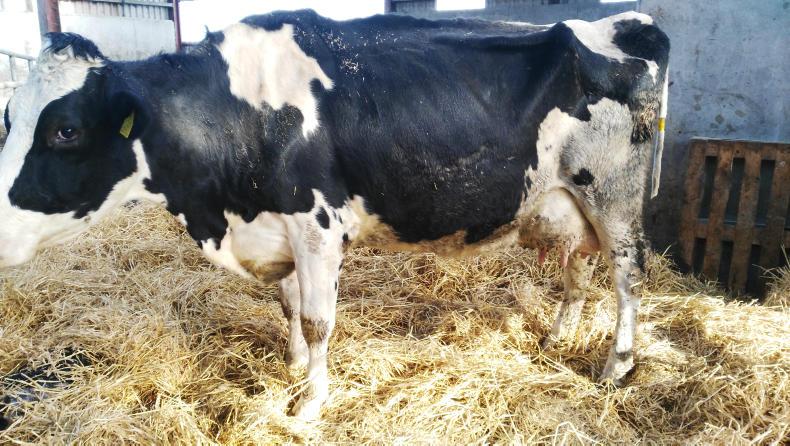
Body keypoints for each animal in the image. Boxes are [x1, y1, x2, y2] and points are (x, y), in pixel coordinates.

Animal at [0, 10, 669, 420]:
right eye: (10, 116)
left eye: (65, 129)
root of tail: (623, 24)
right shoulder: (277, 229)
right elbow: (290, 305)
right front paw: (295, 367)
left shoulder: (317, 225)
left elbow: (319, 319)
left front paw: (309, 403)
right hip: (570, 199)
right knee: (579, 265)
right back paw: (558, 335)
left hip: (613, 196)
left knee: (627, 274)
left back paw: (617, 364)